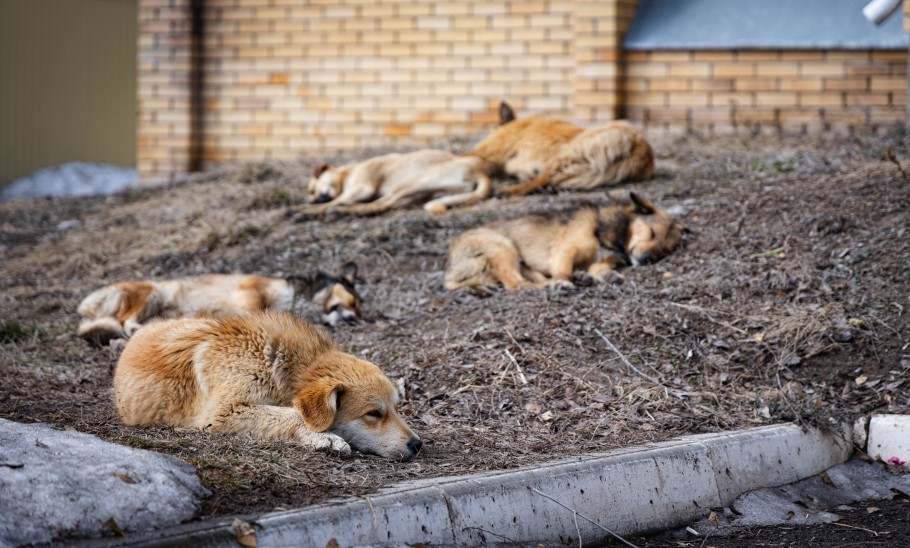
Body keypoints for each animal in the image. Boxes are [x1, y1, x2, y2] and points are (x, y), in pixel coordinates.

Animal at [77, 262, 364, 346]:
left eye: (358, 311)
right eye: (352, 301)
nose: (354, 321)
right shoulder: (249, 292)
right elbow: (257, 309)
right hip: (152, 293)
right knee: (125, 320)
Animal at [114, 310, 424, 460]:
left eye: (397, 409)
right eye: (374, 414)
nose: (417, 444)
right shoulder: (222, 413)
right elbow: (291, 415)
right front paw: (326, 438)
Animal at [296, 151, 492, 219]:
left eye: (312, 190)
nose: (310, 201)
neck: (347, 173)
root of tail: (482, 172)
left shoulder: (360, 189)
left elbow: (333, 200)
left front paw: (306, 209)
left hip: (414, 182)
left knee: (380, 204)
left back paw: (331, 212)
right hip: (415, 194)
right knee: (383, 205)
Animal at [442, 191, 684, 292]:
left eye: (664, 250)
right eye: (652, 233)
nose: (646, 259)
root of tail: (451, 266)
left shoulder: (602, 261)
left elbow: (600, 269)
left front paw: (604, 276)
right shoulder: (566, 251)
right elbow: (564, 270)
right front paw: (564, 281)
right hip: (503, 247)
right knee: (516, 285)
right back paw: (554, 284)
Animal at [464, 103, 656, 197]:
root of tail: (639, 146)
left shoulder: (487, 151)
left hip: (566, 154)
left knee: (545, 176)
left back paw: (509, 191)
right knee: (550, 179)